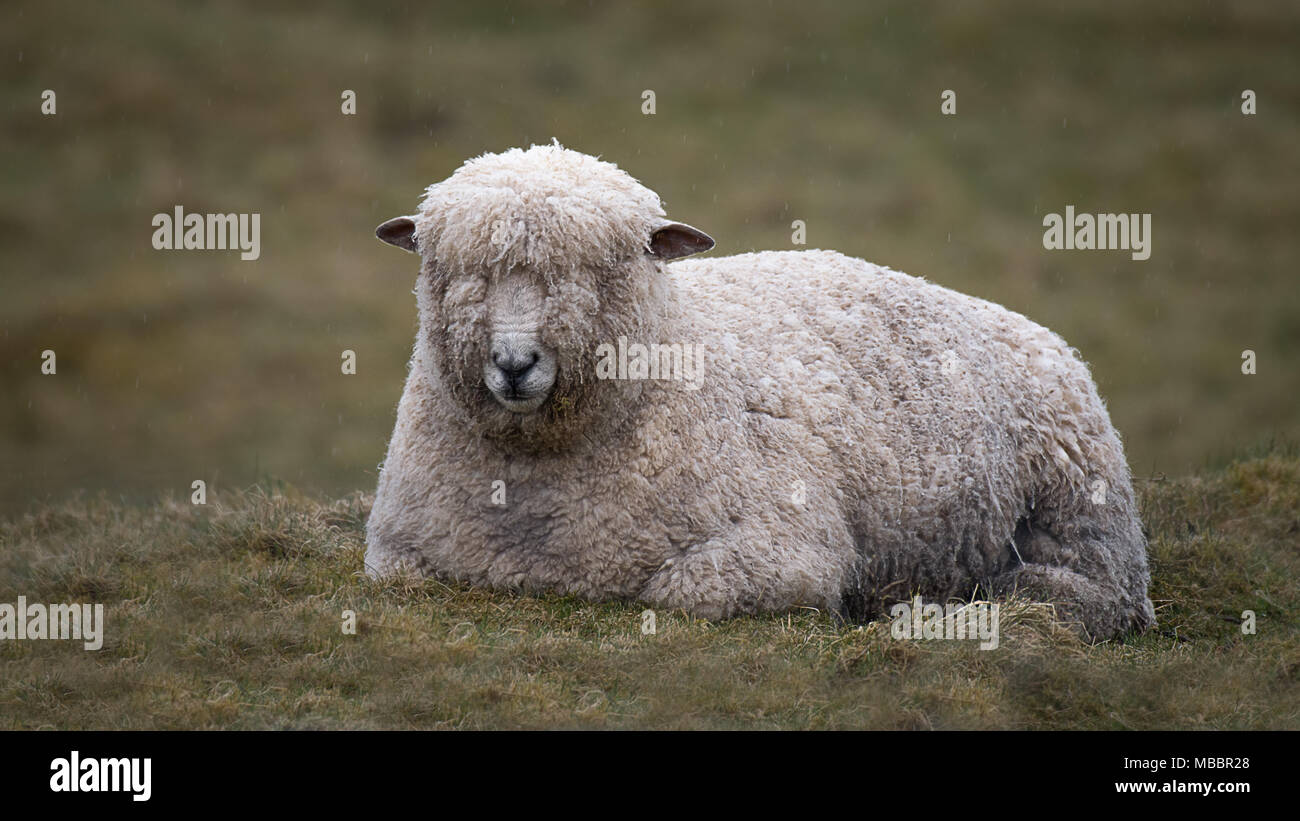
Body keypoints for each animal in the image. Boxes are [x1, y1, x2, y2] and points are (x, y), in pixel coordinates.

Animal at [366, 142, 1159, 641]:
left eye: (598, 270)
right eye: (457, 271)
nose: (513, 363)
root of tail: (1039, 332)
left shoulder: (788, 547)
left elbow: (680, 592)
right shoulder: (395, 552)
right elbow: (397, 576)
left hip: (1079, 512)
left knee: (1098, 596)